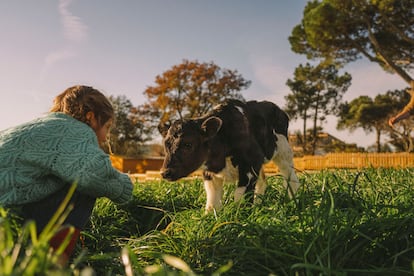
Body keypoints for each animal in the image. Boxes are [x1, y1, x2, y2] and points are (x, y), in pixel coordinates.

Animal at [157, 100, 300, 212]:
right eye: (165, 145)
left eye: (188, 144)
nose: (165, 172)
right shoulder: (209, 172)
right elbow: (212, 201)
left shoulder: (250, 163)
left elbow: (241, 197)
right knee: (263, 180)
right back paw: (258, 206)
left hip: (284, 151)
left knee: (290, 176)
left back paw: (294, 200)